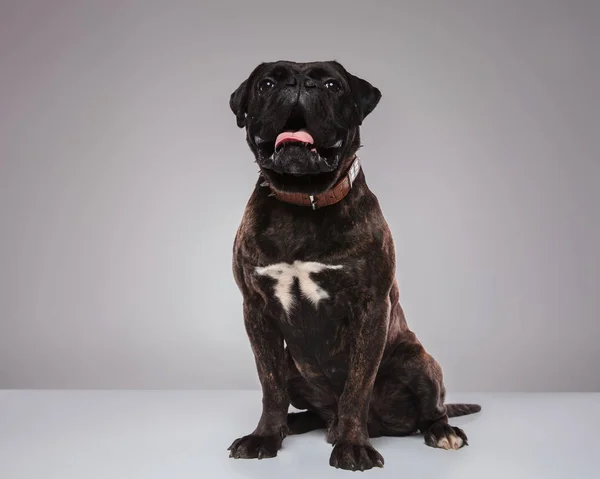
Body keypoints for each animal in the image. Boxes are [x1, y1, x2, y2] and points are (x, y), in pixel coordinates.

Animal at [227, 61, 480, 472]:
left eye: (332, 85)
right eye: (266, 84)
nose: (300, 83)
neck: (305, 200)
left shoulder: (371, 308)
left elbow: (357, 387)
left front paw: (352, 446)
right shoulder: (257, 310)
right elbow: (270, 385)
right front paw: (264, 436)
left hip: (419, 361)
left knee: (431, 410)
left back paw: (441, 431)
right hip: (294, 367)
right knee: (307, 405)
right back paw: (293, 424)